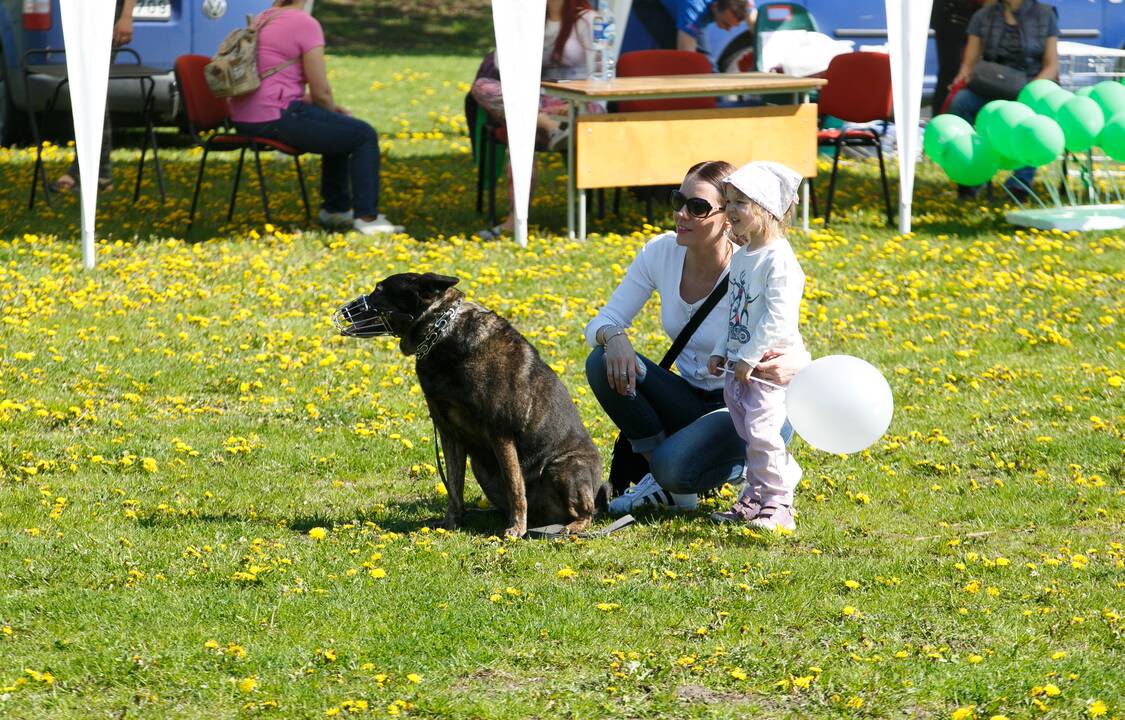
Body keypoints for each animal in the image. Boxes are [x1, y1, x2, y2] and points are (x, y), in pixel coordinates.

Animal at [333, 272, 607, 537]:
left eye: (379, 291)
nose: (344, 312)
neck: (442, 332)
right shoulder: (449, 434)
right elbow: (454, 488)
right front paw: (451, 523)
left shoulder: (501, 434)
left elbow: (515, 487)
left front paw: (516, 529)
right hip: (482, 468)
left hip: (564, 468)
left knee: (587, 513)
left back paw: (570, 527)